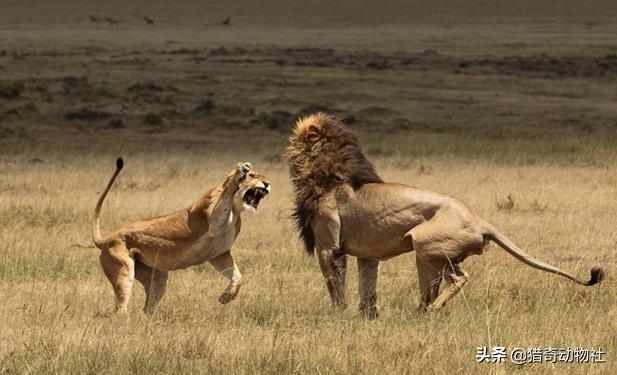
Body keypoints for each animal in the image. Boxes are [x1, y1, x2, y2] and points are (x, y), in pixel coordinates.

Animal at [90, 159, 268, 314]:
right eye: (253, 176)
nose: (267, 184)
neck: (236, 210)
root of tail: (105, 240)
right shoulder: (212, 220)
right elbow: (227, 194)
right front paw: (240, 172)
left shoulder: (219, 254)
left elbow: (237, 277)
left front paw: (226, 297)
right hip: (124, 269)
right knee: (120, 308)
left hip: (158, 276)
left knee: (148, 308)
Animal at [286, 113, 604, 318]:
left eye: (298, 139)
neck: (326, 172)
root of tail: (479, 219)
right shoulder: (367, 254)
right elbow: (368, 288)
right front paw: (366, 317)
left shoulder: (329, 246)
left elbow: (335, 284)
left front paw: (337, 315)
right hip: (431, 255)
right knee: (434, 286)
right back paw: (419, 312)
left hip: (425, 243)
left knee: (459, 278)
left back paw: (430, 311)